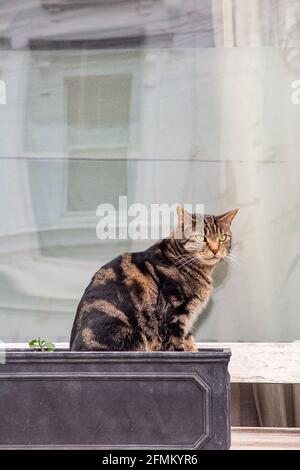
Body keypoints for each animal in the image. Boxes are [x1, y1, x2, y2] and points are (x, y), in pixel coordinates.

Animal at [69, 207, 237, 350]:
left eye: (223, 237)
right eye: (201, 237)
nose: (215, 249)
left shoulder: (186, 322)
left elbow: (189, 342)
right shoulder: (174, 317)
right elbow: (177, 347)